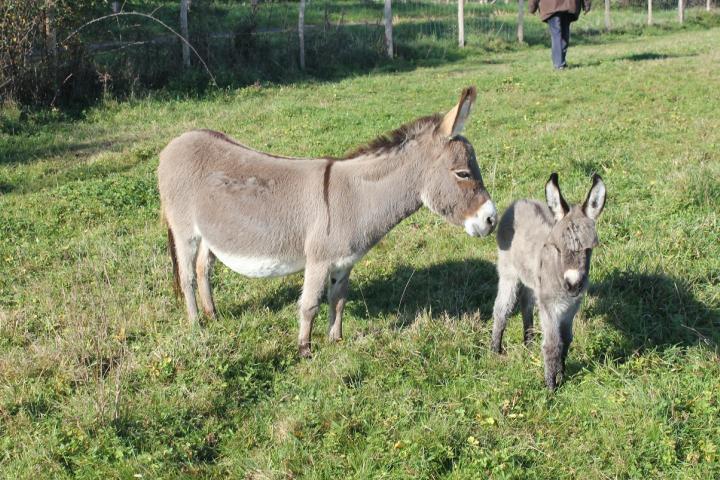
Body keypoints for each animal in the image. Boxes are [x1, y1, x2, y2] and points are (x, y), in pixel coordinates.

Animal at [492, 172, 604, 390]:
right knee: (502, 308)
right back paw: (495, 350)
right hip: (509, 272)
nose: (573, 284)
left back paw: (528, 343)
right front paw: (551, 387)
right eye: (558, 249)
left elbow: (566, 339)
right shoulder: (549, 305)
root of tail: (520, 201)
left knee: (526, 305)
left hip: (531, 281)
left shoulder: (572, 305)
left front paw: (561, 373)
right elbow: (553, 344)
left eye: (588, 249)